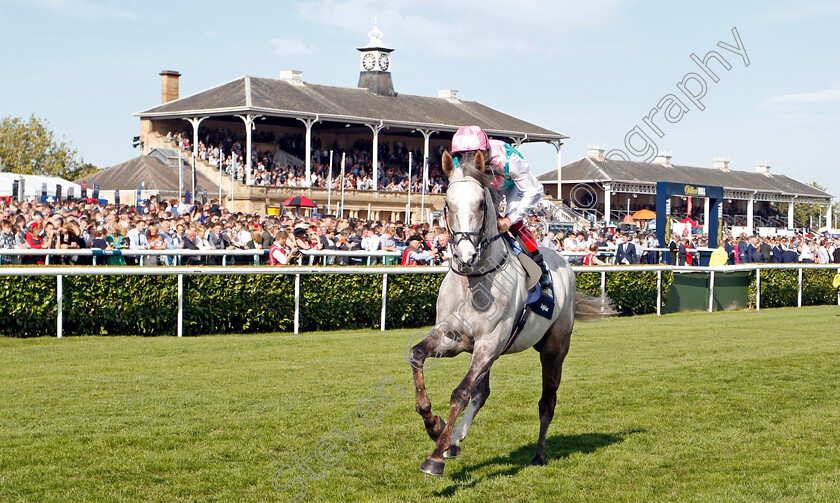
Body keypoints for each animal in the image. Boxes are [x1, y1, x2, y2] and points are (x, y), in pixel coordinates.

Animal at [408, 150, 612, 476]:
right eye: (448, 204)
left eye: (481, 203)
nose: (465, 256)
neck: (475, 282)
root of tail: (565, 264)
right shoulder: (453, 339)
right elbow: (416, 355)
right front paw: (434, 425)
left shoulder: (489, 342)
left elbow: (460, 393)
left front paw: (435, 456)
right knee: (483, 392)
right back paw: (455, 438)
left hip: (554, 348)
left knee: (547, 401)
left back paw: (537, 455)